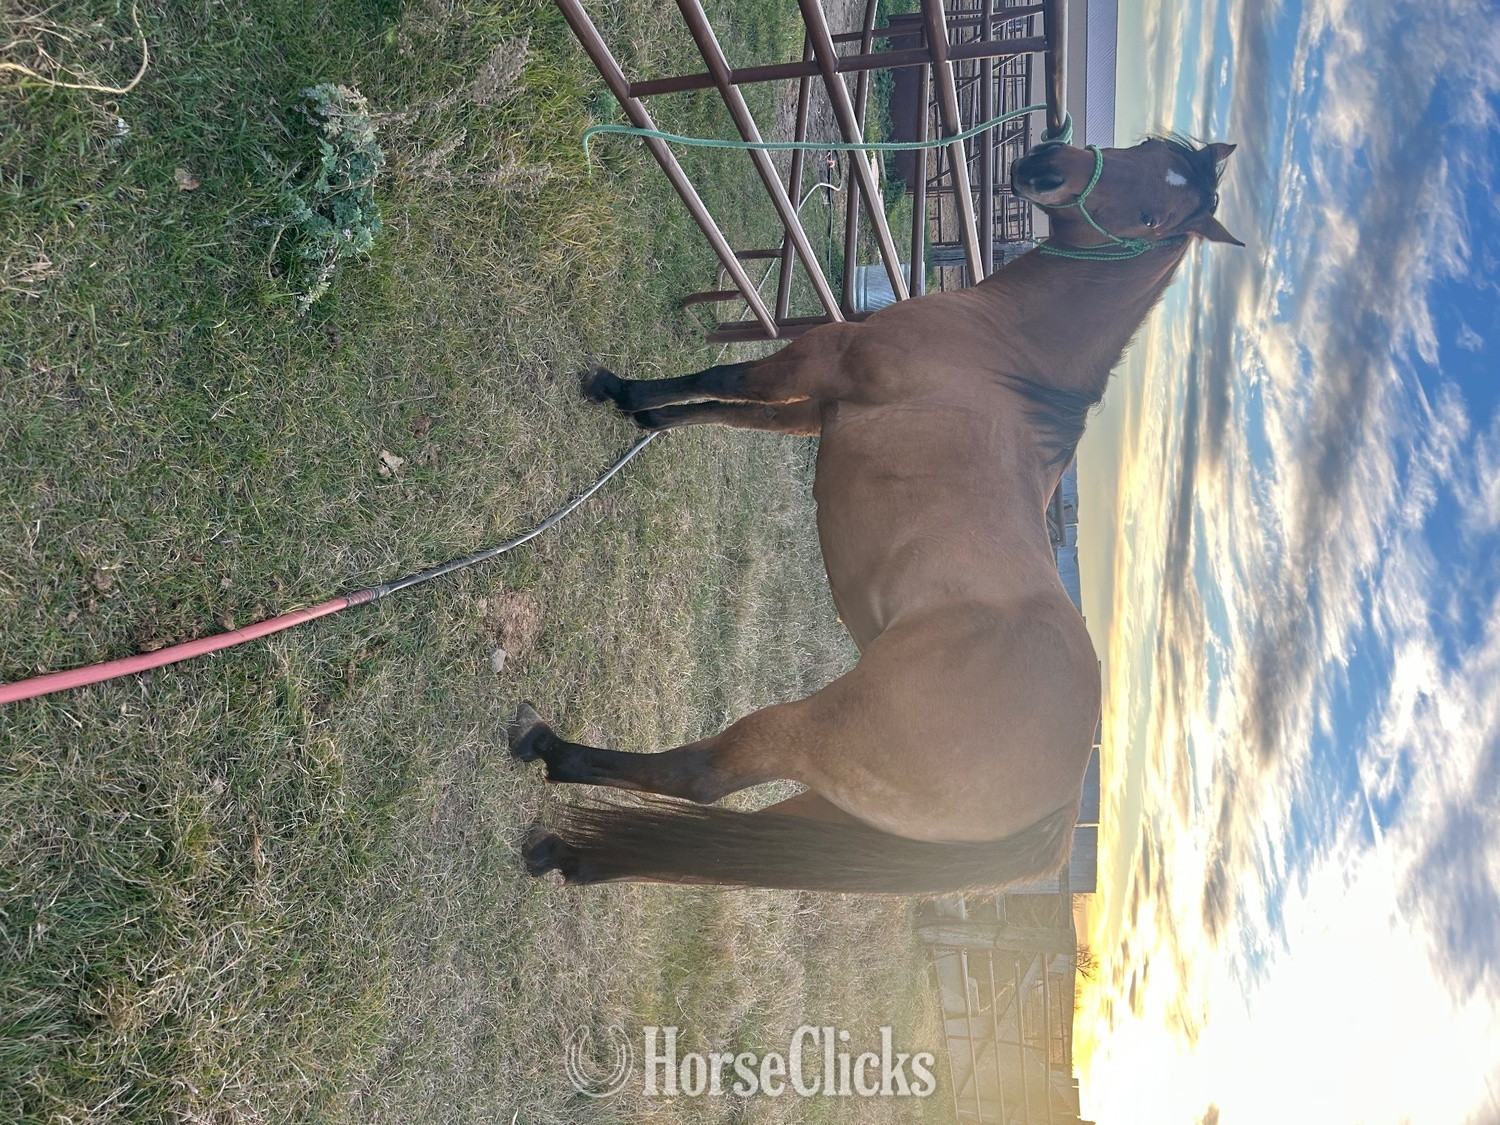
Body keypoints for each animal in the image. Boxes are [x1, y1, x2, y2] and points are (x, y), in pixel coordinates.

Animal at [509, 135, 1241, 893]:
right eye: (1148, 148)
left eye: (1155, 216)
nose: (1044, 164)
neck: (1003, 354)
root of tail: (1062, 810)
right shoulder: (816, 407)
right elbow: (725, 406)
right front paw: (642, 410)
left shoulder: (818, 360)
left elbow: (725, 380)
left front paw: (617, 390)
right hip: (837, 812)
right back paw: (564, 855)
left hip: (815, 733)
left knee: (704, 777)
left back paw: (548, 746)